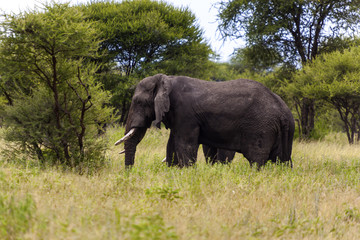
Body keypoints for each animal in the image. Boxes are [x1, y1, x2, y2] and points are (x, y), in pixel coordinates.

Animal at [116, 73, 296, 169]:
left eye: (139, 102)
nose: (129, 174)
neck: (166, 79)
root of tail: (283, 110)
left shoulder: (185, 114)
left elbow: (185, 145)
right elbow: (172, 145)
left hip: (261, 127)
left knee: (257, 159)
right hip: (285, 130)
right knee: (283, 160)